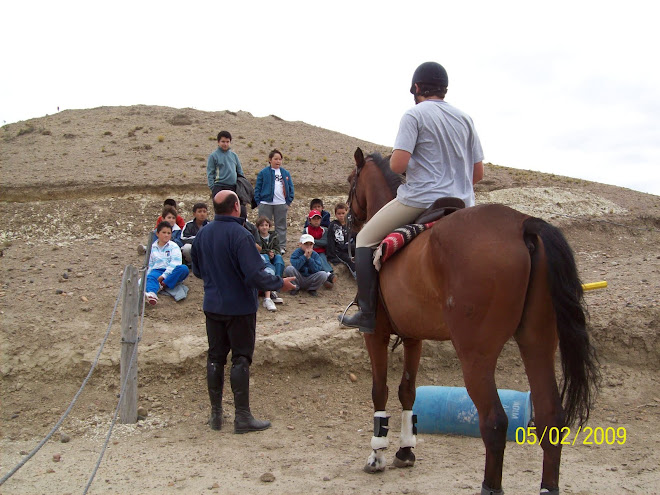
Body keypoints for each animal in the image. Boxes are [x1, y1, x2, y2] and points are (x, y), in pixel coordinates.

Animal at [346, 148, 600, 495]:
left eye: (350, 181)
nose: (348, 223)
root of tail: (523, 224)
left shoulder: (376, 334)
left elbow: (379, 391)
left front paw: (377, 455)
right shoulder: (414, 336)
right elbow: (407, 391)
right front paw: (406, 451)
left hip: (476, 355)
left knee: (494, 420)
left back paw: (490, 485)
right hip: (538, 341)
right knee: (551, 415)